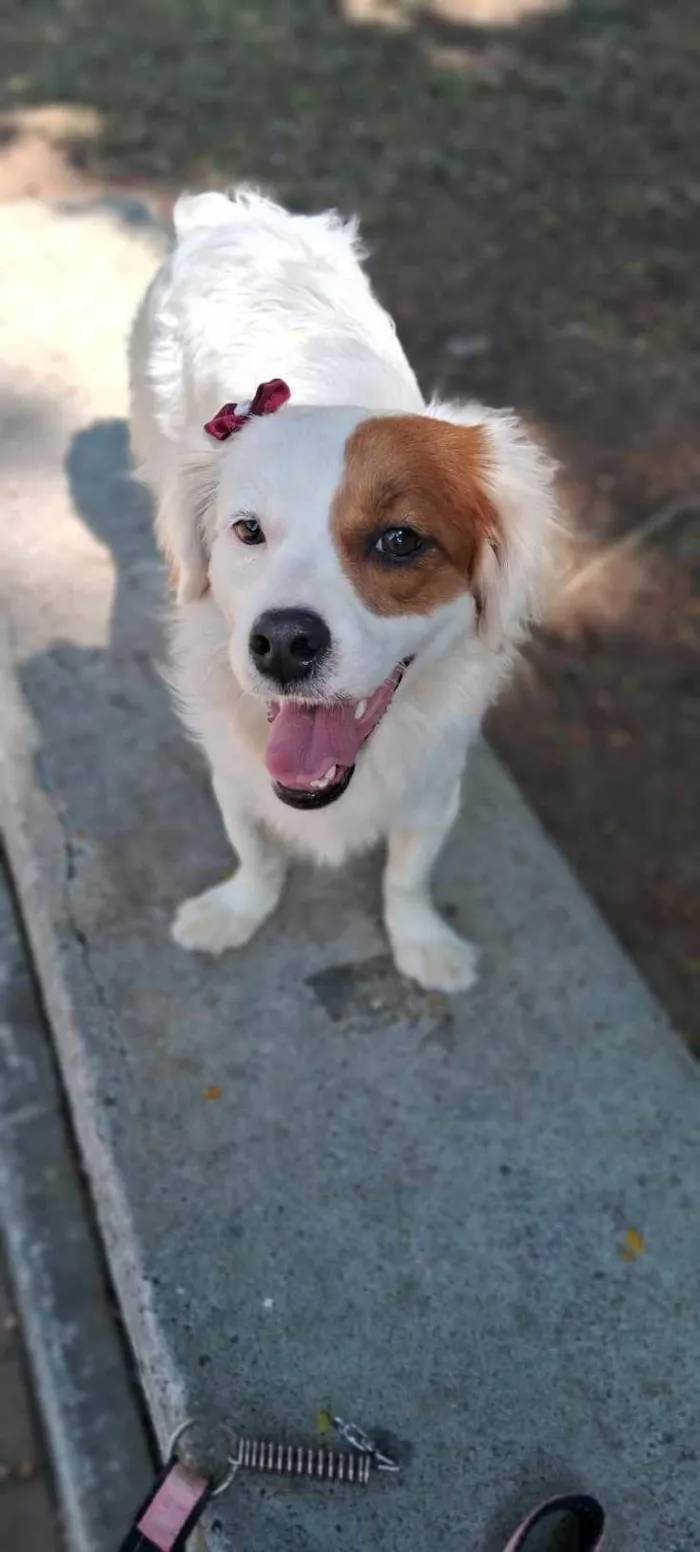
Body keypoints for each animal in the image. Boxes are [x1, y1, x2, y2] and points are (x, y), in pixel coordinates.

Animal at [130, 187, 558, 993]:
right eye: (247, 530)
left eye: (400, 540)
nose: (282, 642)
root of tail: (229, 211)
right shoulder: (235, 773)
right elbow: (255, 849)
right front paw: (236, 910)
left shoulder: (434, 781)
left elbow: (406, 875)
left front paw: (421, 943)